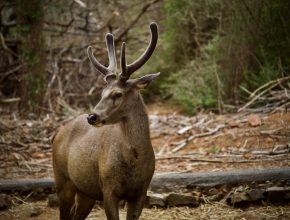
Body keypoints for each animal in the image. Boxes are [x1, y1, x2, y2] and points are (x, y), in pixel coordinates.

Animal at [53, 22, 160, 220]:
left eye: (117, 94)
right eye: (102, 92)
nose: (91, 116)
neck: (134, 162)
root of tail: (57, 132)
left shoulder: (141, 191)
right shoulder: (108, 188)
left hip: (85, 191)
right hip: (62, 179)